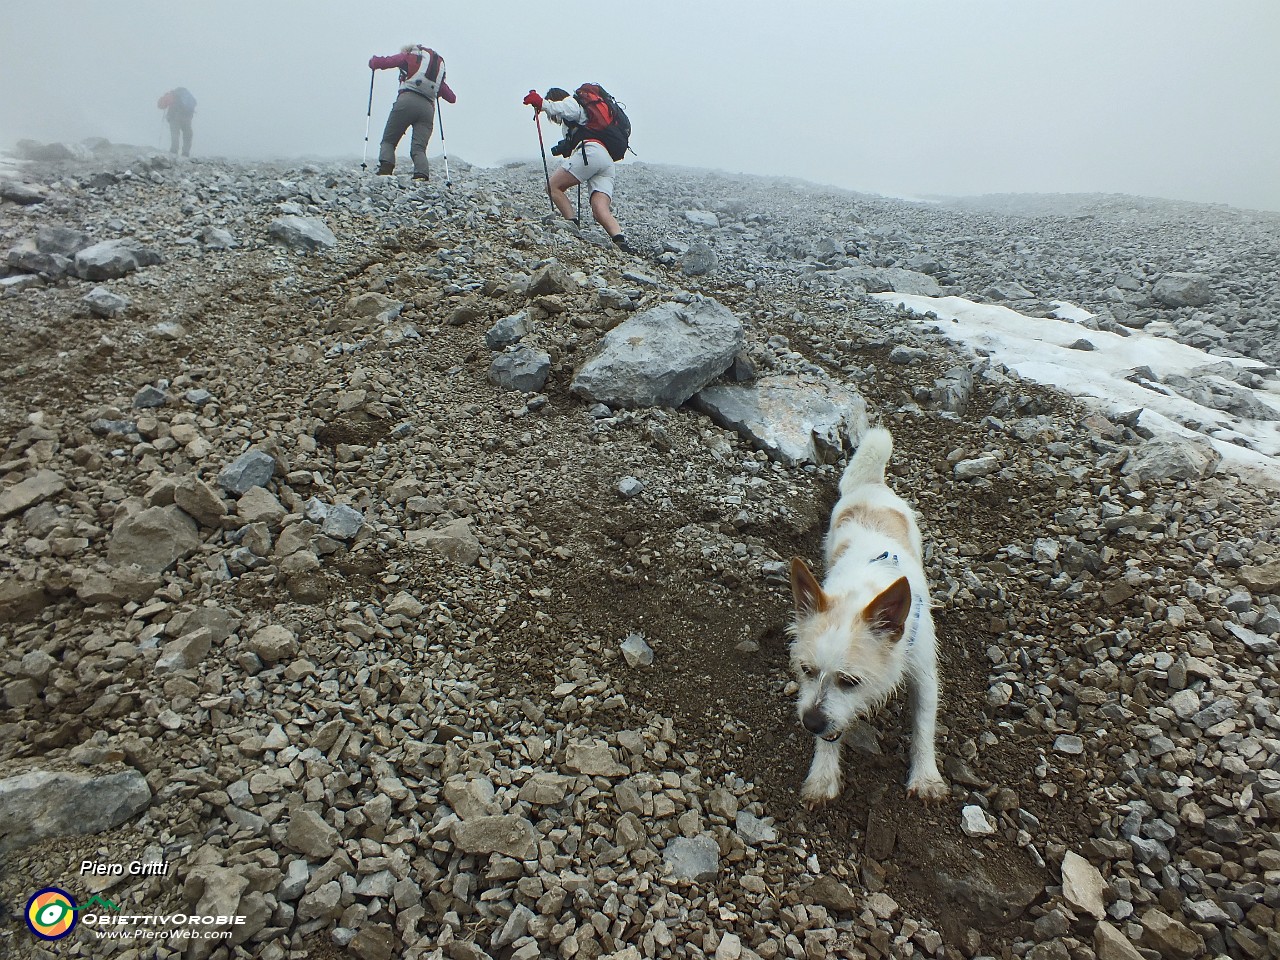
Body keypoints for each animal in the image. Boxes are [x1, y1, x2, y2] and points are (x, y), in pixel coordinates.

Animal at [783, 427, 947, 803]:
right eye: (806, 670)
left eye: (850, 681)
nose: (810, 723)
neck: (863, 592)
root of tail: (870, 485)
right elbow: (830, 733)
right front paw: (823, 775)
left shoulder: (924, 674)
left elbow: (923, 726)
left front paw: (926, 777)